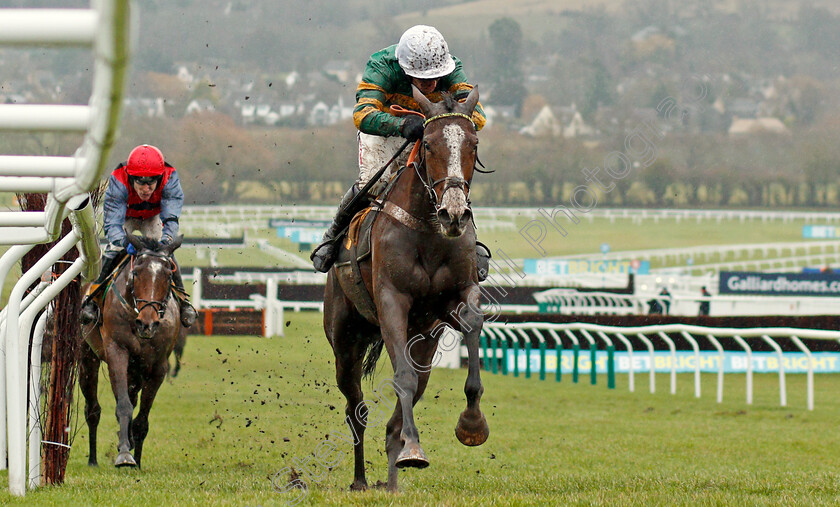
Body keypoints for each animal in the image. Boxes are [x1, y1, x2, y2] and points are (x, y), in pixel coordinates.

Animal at [79, 234, 184, 468]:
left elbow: (142, 417)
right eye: (136, 273)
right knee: (93, 409)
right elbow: (124, 406)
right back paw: (92, 459)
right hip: (87, 355)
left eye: (168, 275)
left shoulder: (158, 366)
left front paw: (137, 458)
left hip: (136, 369)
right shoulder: (117, 352)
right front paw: (125, 454)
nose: (147, 324)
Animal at [324, 84, 488, 492]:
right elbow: (402, 379)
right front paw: (414, 448)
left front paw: (472, 424)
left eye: (473, 143)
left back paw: (392, 479)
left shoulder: (455, 298)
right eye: (427, 143)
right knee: (356, 409)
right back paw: (361, 480)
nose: (454, 213)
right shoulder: (392, 302)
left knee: (403, 405)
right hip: (344, 341)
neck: (428, 231)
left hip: (424, 342)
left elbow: (473, 325)